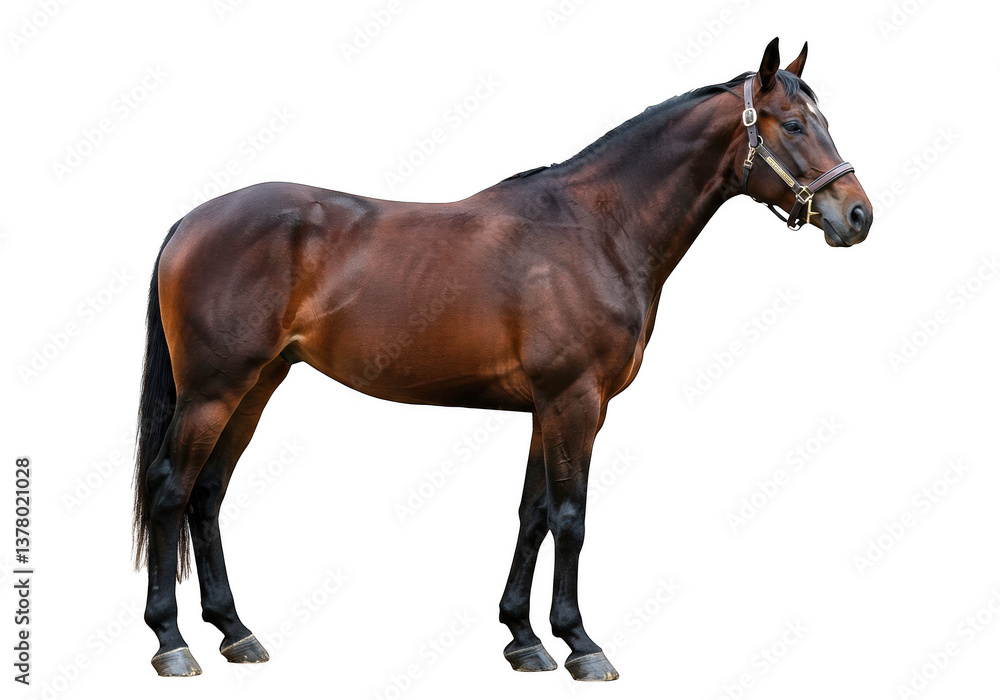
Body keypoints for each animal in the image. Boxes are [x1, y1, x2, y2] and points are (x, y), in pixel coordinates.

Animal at [132, 38, 872, 680]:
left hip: (255, 386)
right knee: (170, 489)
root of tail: (190, 222)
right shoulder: (575, 402)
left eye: (822, 120)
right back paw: (171, 642)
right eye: (795, 125)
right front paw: (581, 644)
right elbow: (571, 518)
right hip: (212, 391)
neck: (599, 229)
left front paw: (524, 638)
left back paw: (235, 631)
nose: (858, 216)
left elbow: (533, 515)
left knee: (207, 494)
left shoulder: (550, 407)